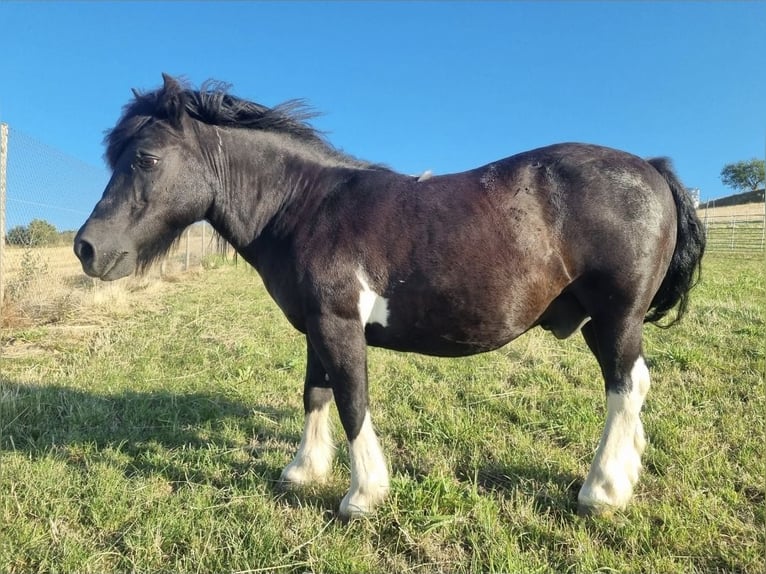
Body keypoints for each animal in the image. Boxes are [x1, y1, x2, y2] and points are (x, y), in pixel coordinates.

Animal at [74, 74, 705, 519]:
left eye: (146, 157)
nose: (87, 248)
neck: (305, 206)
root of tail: (650, 169)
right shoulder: (317, 325)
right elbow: (315, 393)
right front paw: (303, 471)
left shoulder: (338, 324)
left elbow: (353, 401)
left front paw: (361, 495)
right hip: (602, 321)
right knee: (632, 386)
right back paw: (626, 469)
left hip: (618, 315)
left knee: (624, 386)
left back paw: (601, 490)